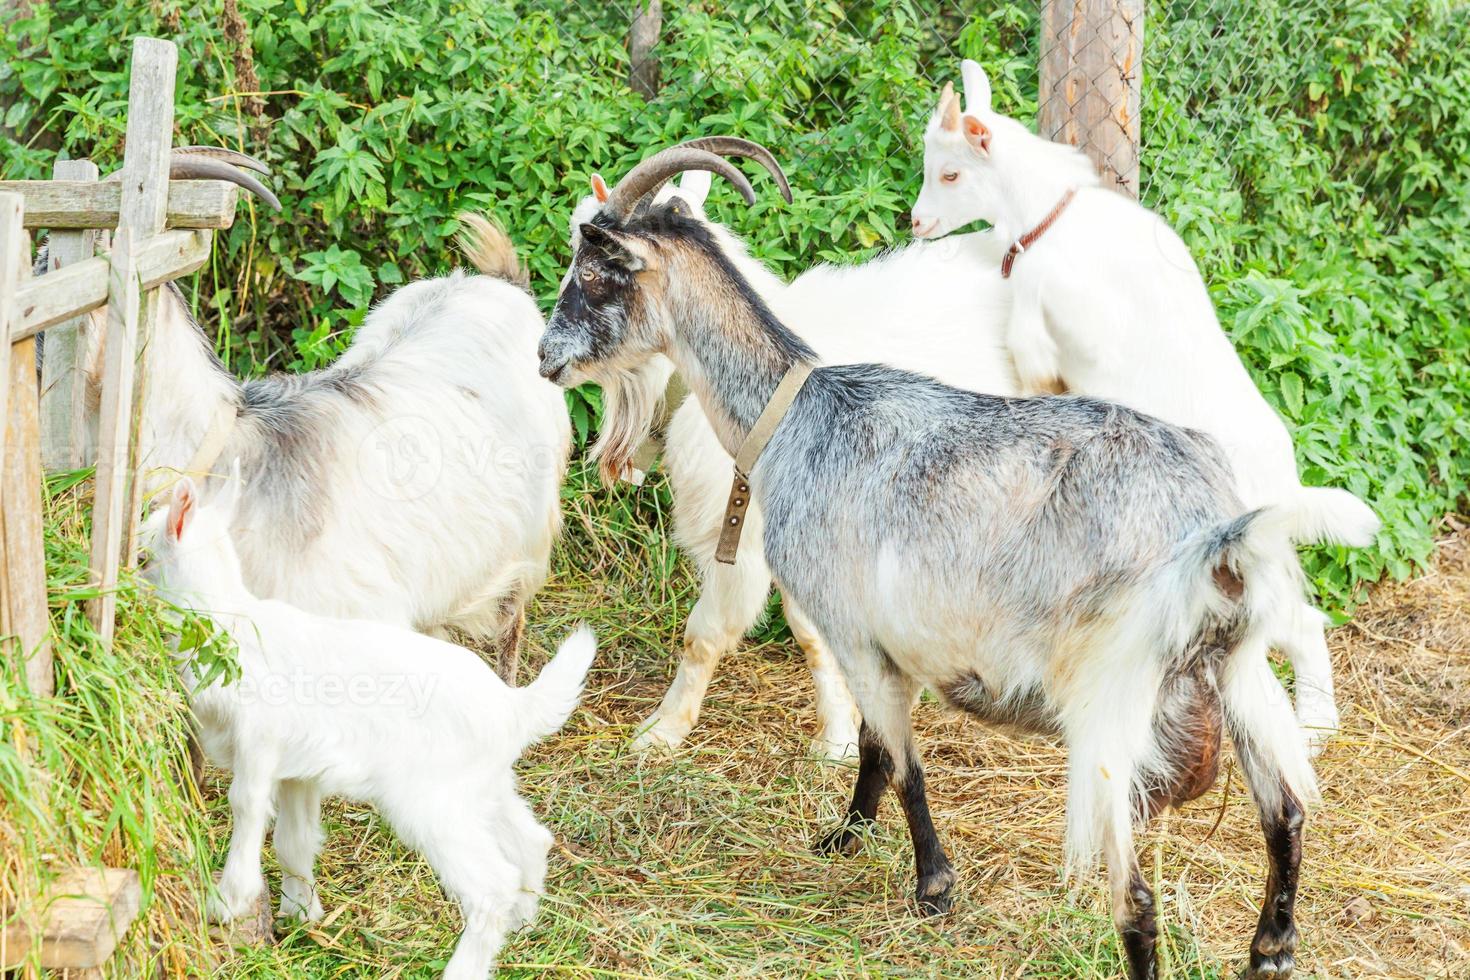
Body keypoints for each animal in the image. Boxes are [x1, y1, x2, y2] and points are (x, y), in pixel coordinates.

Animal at [567, 164, 1017, 758]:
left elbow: (703, 635)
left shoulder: (741, 538)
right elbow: (811, 634)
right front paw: (838, 737)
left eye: (594, 267)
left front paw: (661, 732)